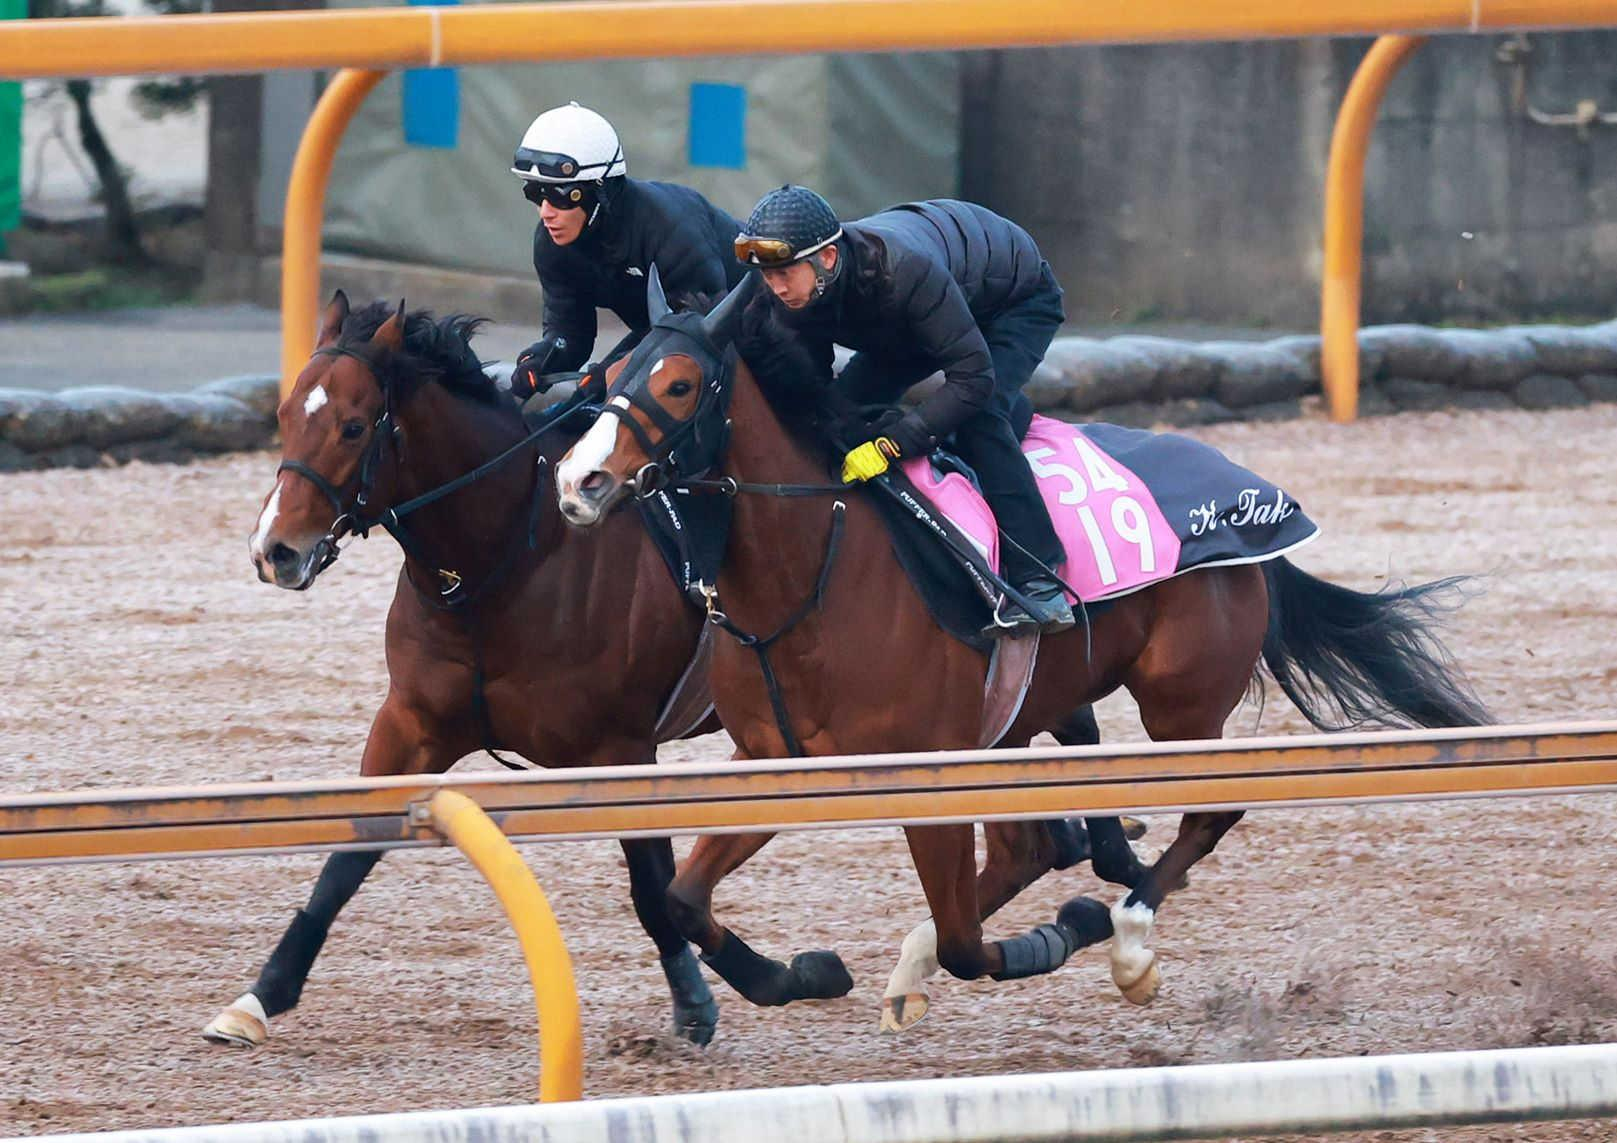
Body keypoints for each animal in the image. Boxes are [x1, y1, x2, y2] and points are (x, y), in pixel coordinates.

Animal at [208, 291, 724, 1048]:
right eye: (284, 415)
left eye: (354, 426)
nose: (274, 550)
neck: (501, 568)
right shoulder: (412, 725)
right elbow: (347, 858)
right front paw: (261, 994)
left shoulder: (622, 747)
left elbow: (650, 884)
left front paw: (692, 998)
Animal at [551, 272, 1490, 1023]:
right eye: (606, 377)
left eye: (678, 384)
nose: (576, 482)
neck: (811, 572)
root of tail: (1256, 497)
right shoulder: (773, 757)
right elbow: (682, 896)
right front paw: (800, 974)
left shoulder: (923, 771)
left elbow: (972, 945)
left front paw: (1071, 927)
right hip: (1020, 725)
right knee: (1026, 851)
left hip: (1178, 701)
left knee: (1206, 812)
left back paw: (1128, 940)